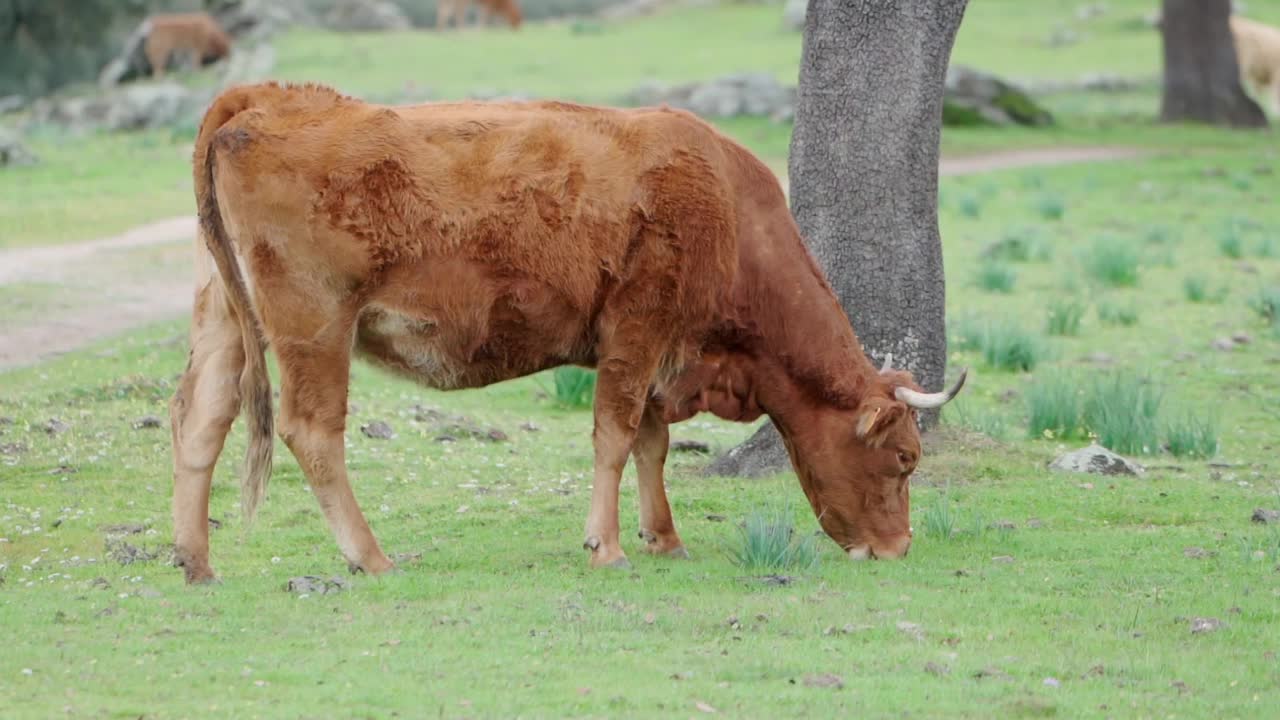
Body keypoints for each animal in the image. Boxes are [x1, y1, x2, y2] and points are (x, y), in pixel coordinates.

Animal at [170, 79, 962, 584]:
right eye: (904, 460)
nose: (898, 548)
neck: (729, 210)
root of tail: (270, 97)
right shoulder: (637, 328)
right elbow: (616, 435)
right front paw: (606, 546)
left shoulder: (656, 352)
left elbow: (650, 442)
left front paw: (663, 537)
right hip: (314, 326)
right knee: (311, 431)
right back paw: (369, 556)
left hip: (223, 317)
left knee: (202, 419)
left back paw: (196, 560)